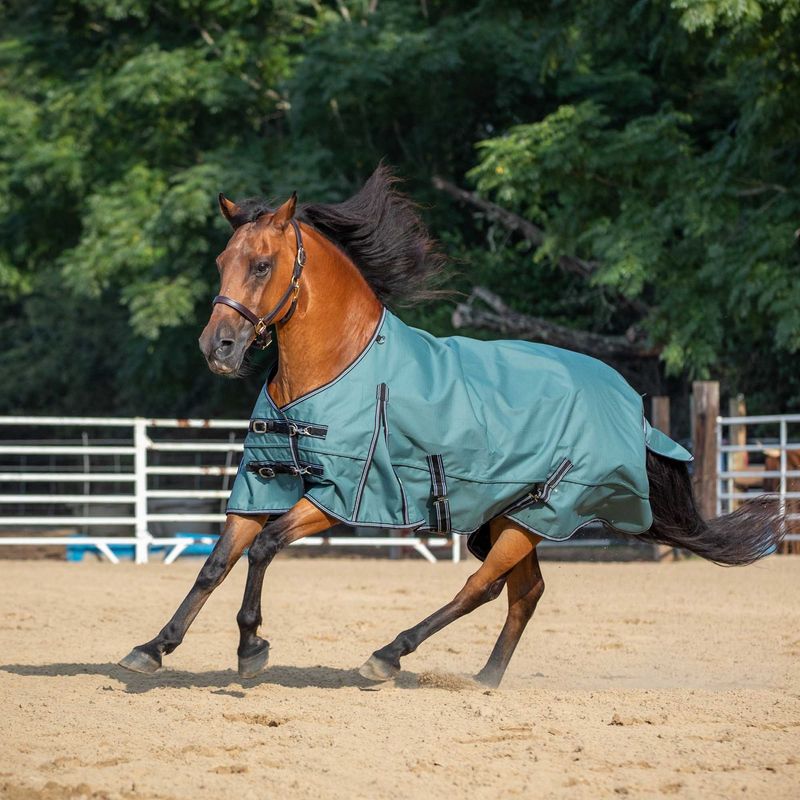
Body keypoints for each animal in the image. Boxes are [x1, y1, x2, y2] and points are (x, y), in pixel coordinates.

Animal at [119, 166, 784, 687]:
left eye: (261, 264)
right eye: (221, 261)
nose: (219, 347)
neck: (336, 366)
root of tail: (629, 403)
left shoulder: (341, 497)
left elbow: (262, 549)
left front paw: (250, 647)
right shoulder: (263, 483)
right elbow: (215, 563)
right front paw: (153, 649)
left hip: (537, 514)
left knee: (480, 589)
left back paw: (389, 655)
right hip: (508, 519)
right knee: (523, 593)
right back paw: (485, 678)